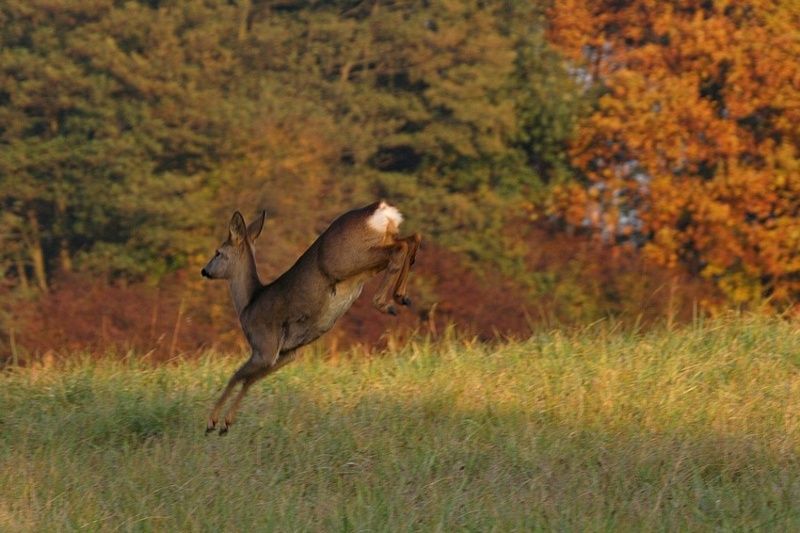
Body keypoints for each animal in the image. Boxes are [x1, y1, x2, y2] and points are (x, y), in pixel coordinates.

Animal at [200, 202, 422, 434]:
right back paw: (401, 296)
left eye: (218, 252)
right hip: (371, 253)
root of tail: (381, 209)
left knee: (399, 249)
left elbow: (236, 376)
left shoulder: (264, 347)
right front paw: (226, 423)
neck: (249, 303)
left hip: (347, 258)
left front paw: (213, 422)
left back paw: (384, 303)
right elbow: (249, 381)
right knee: (411, 239)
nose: (204, 270)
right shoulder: (286, 353)